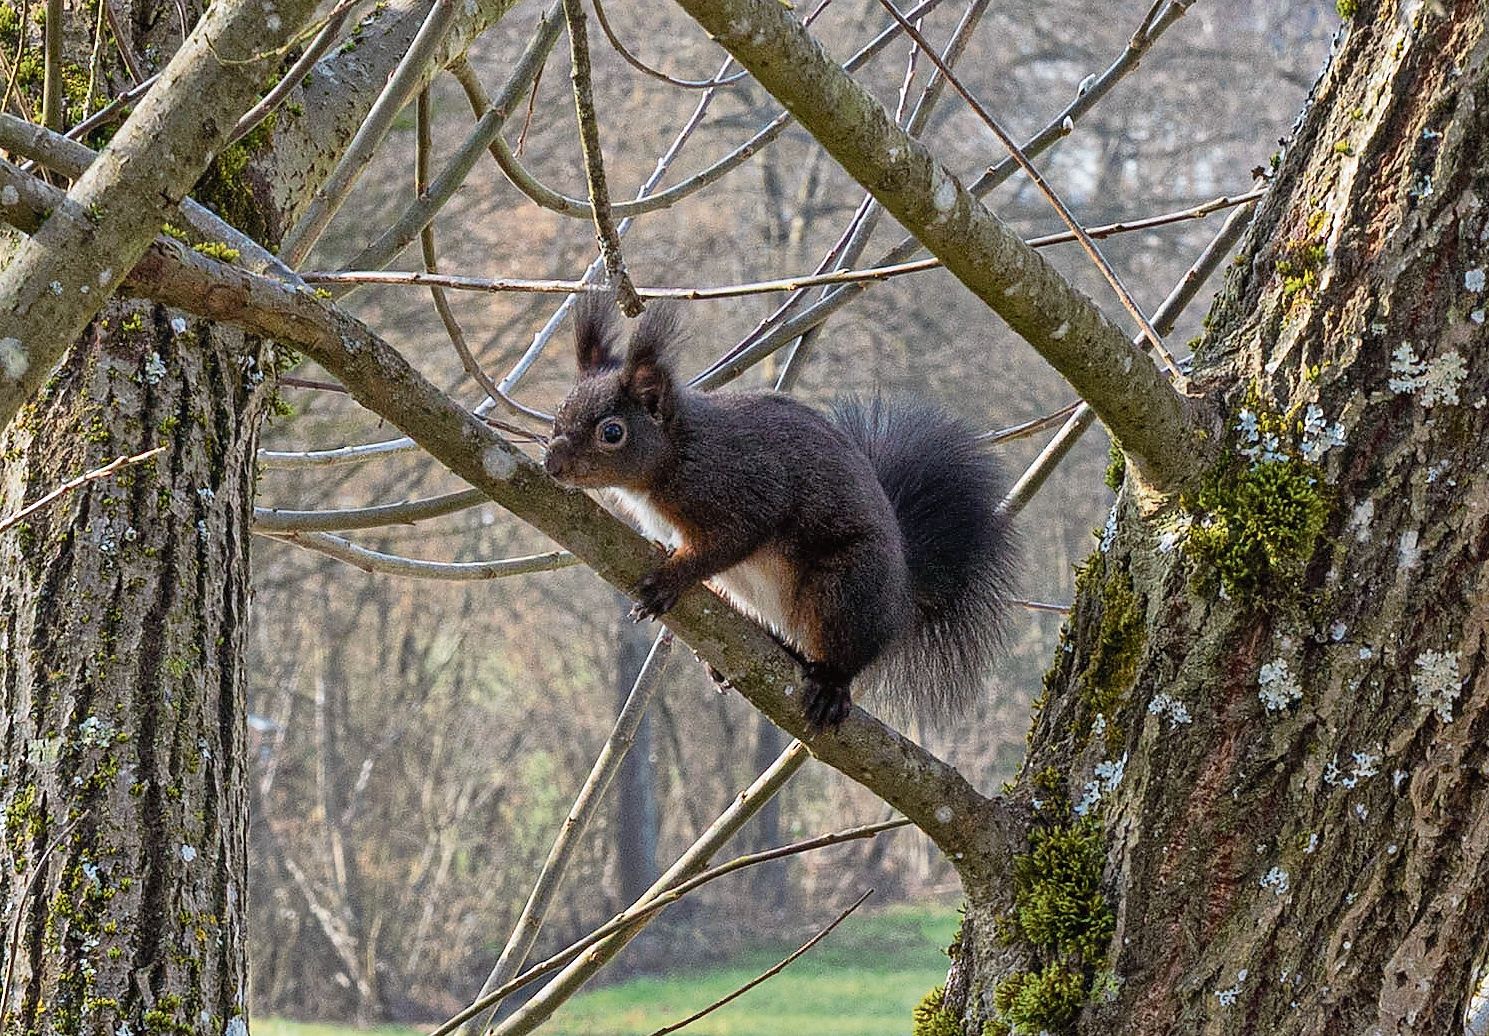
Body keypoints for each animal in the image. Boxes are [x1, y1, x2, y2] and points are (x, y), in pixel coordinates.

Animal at [542, 295, 1017, 733]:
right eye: (559, 412)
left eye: (612, 433)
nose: (552, 465)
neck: (677, 451)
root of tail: (902, 599)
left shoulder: (743, 490)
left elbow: (731, 541)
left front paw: (671, 579)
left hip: (845, 590)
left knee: (848, 651)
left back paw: (831, 683)